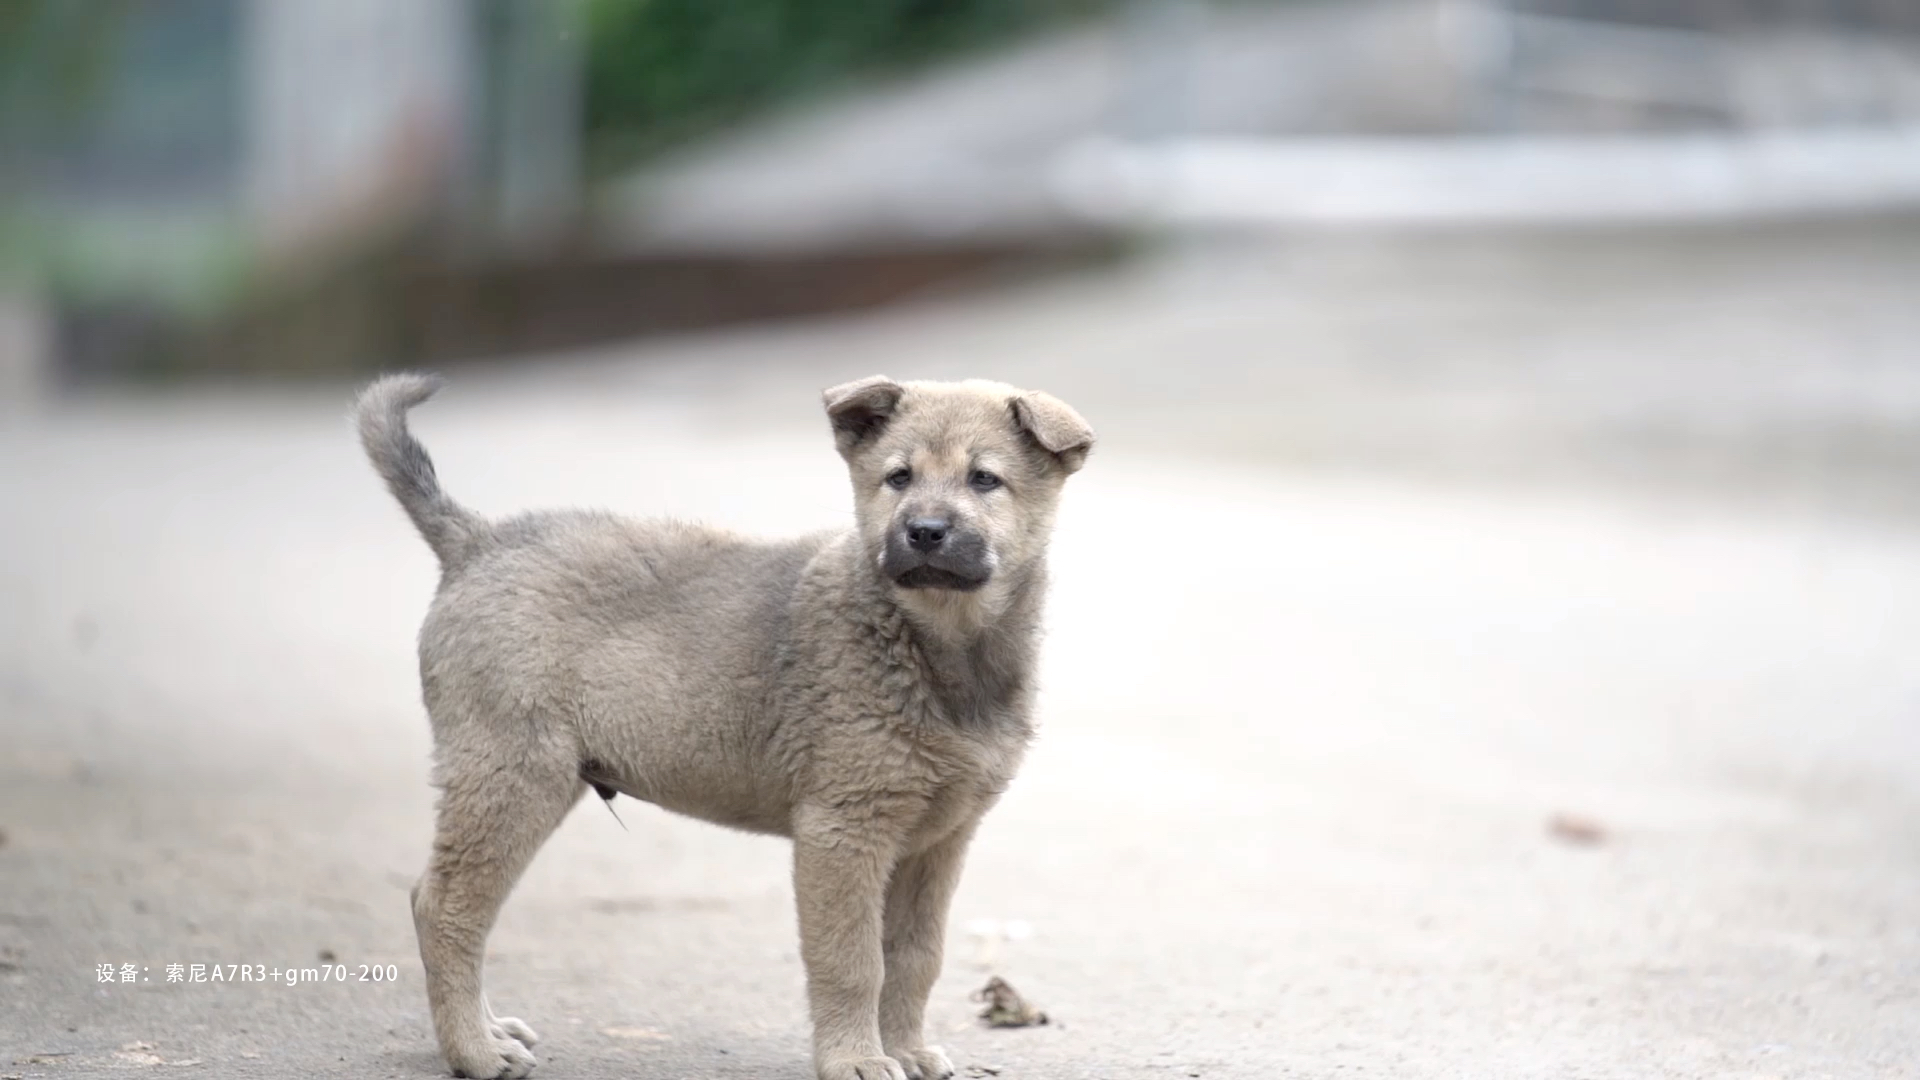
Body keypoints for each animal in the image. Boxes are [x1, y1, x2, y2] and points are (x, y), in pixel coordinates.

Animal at [351, 372, 1090, 1076]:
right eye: (899, 477)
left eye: (983, 479)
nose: (925, 531)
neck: (936, 645)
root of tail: (477, 541)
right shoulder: (843, 832)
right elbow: (853, 962)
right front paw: (855, 1059)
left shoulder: (936, 842)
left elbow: (914, 959)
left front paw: (905, 1050)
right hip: (512, 778)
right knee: (445, 906)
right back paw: (475, 1052)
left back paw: (488, 1031)